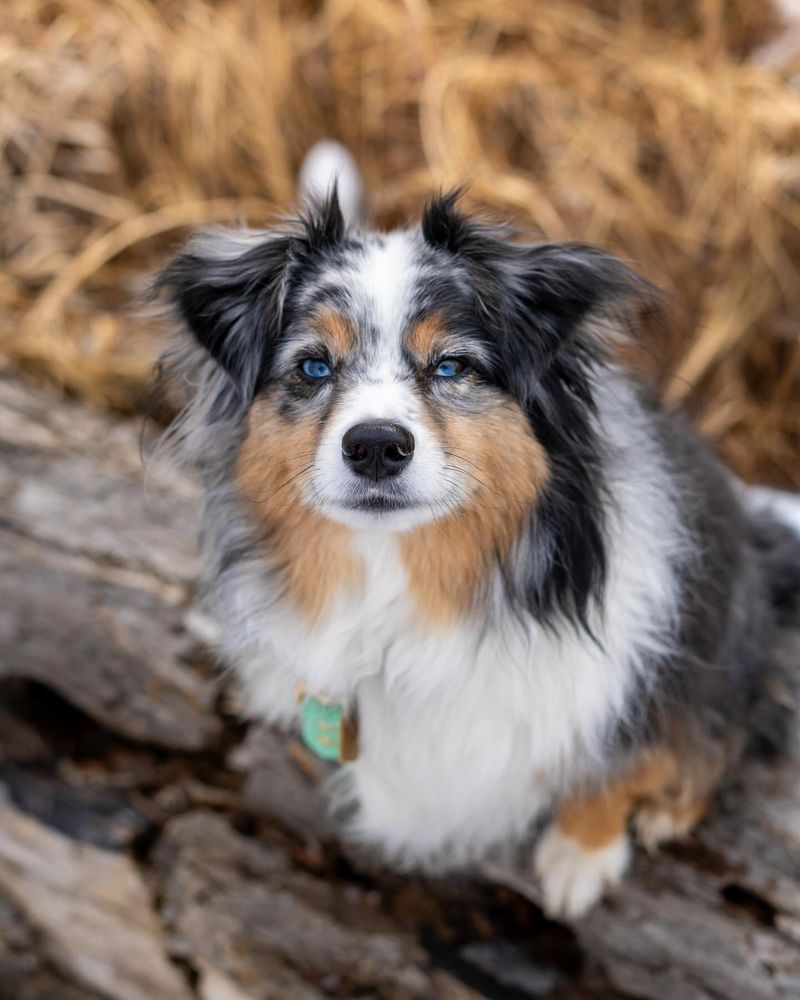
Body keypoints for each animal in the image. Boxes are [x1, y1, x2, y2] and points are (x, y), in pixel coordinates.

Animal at [158, 145, 800, 916]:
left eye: (452, 366)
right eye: (313, 366)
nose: (376, 446)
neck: (403, 588)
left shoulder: (653, 668)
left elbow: (618, 769)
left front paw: (580, 856)